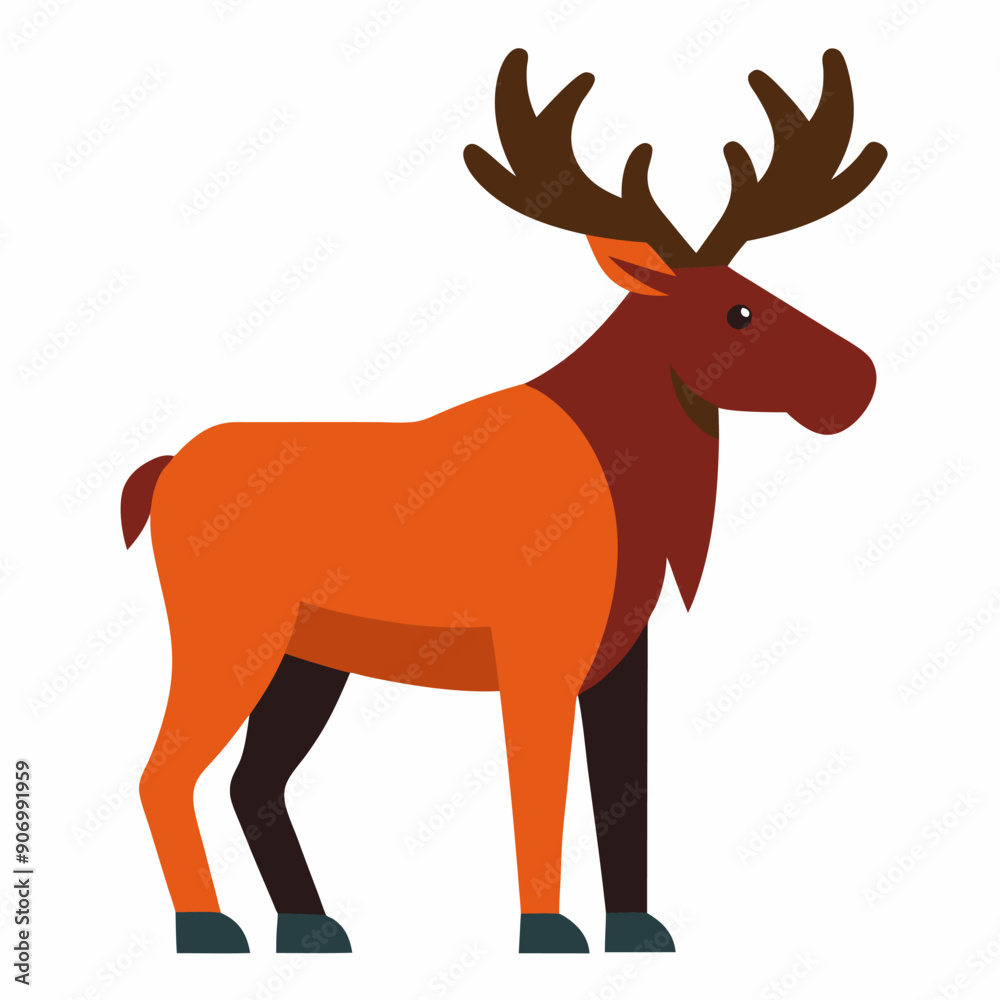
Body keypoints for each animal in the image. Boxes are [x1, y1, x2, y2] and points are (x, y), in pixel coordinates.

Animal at [122, 47, 885, 955]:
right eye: (737, 311)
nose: (859, 379)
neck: (639, 495)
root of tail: (159, 475)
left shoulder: (621, 652)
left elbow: (623, 794)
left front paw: (636, 931)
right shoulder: (535, 652)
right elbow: (541, 798)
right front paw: (547, 932)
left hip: (308, 657)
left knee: (252, 781)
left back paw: (311, 926)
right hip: (230, 633)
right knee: (164, 773)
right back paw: (208, 928)